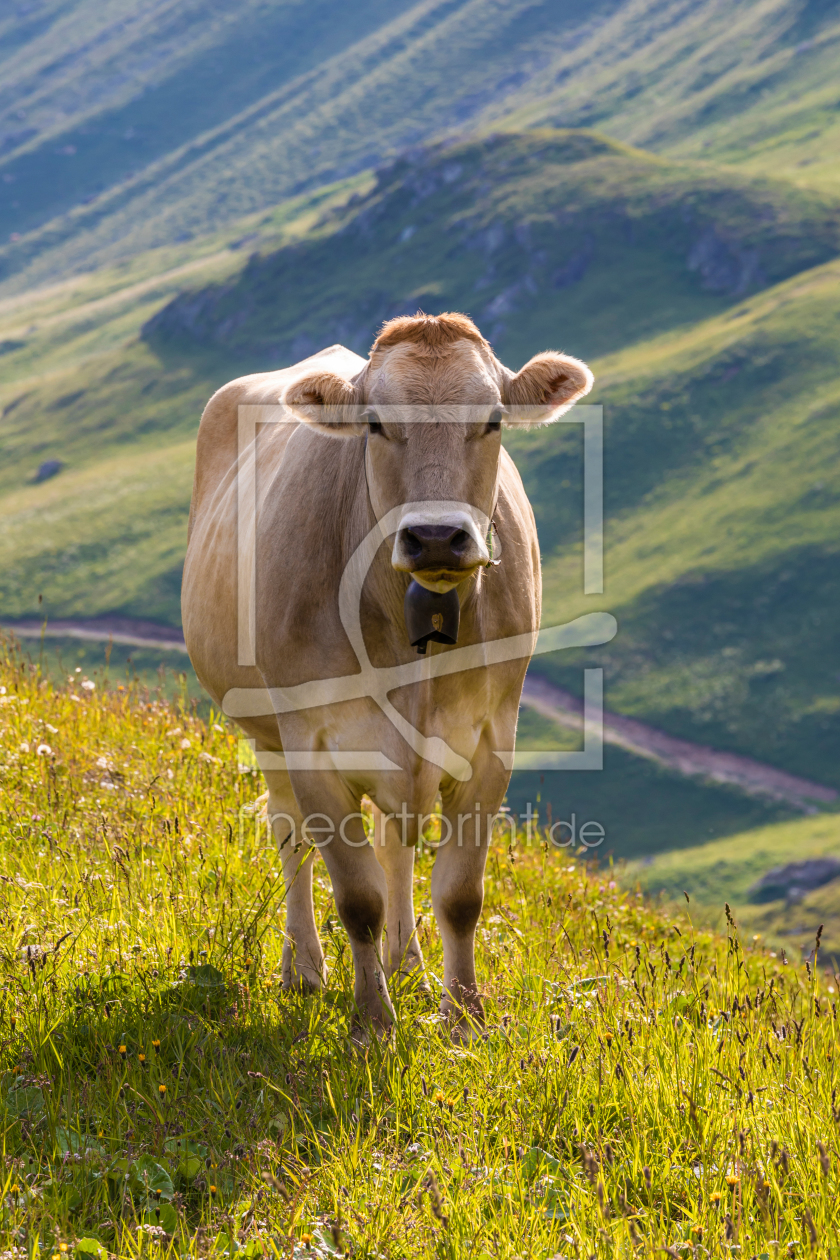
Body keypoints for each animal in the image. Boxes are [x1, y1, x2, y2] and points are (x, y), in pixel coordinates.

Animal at [182, 309, 591, 1038]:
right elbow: (357, 897)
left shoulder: (491, 740)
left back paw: (407, 963)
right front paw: (372, 1023)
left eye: (492, 418)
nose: (435, 538)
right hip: (266, 733)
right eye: (374, 422)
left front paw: (463, 1020)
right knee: (292, 839)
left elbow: (459, 894)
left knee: (396, 842)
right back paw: (305, 969)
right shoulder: (312, 743)